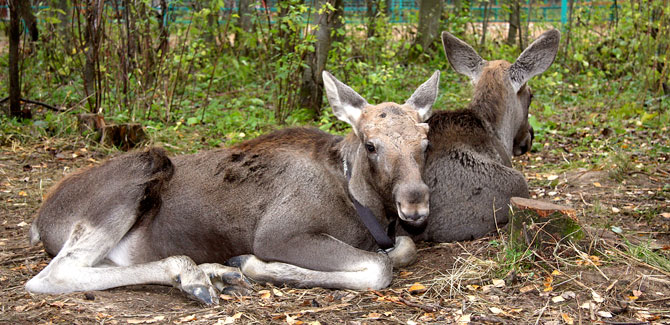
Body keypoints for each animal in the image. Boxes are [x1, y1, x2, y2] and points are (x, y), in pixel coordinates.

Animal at [26, 69, 444, 302]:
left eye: (426, 143)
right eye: (371, 145)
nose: (415, 206)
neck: (364, 208)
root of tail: (38, 223)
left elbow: (403, 249)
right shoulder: (280, 233)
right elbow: (379, 267)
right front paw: (257, 266)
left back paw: (215, 273)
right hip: (144, 165)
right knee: (54, 275)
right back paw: (193, 274)